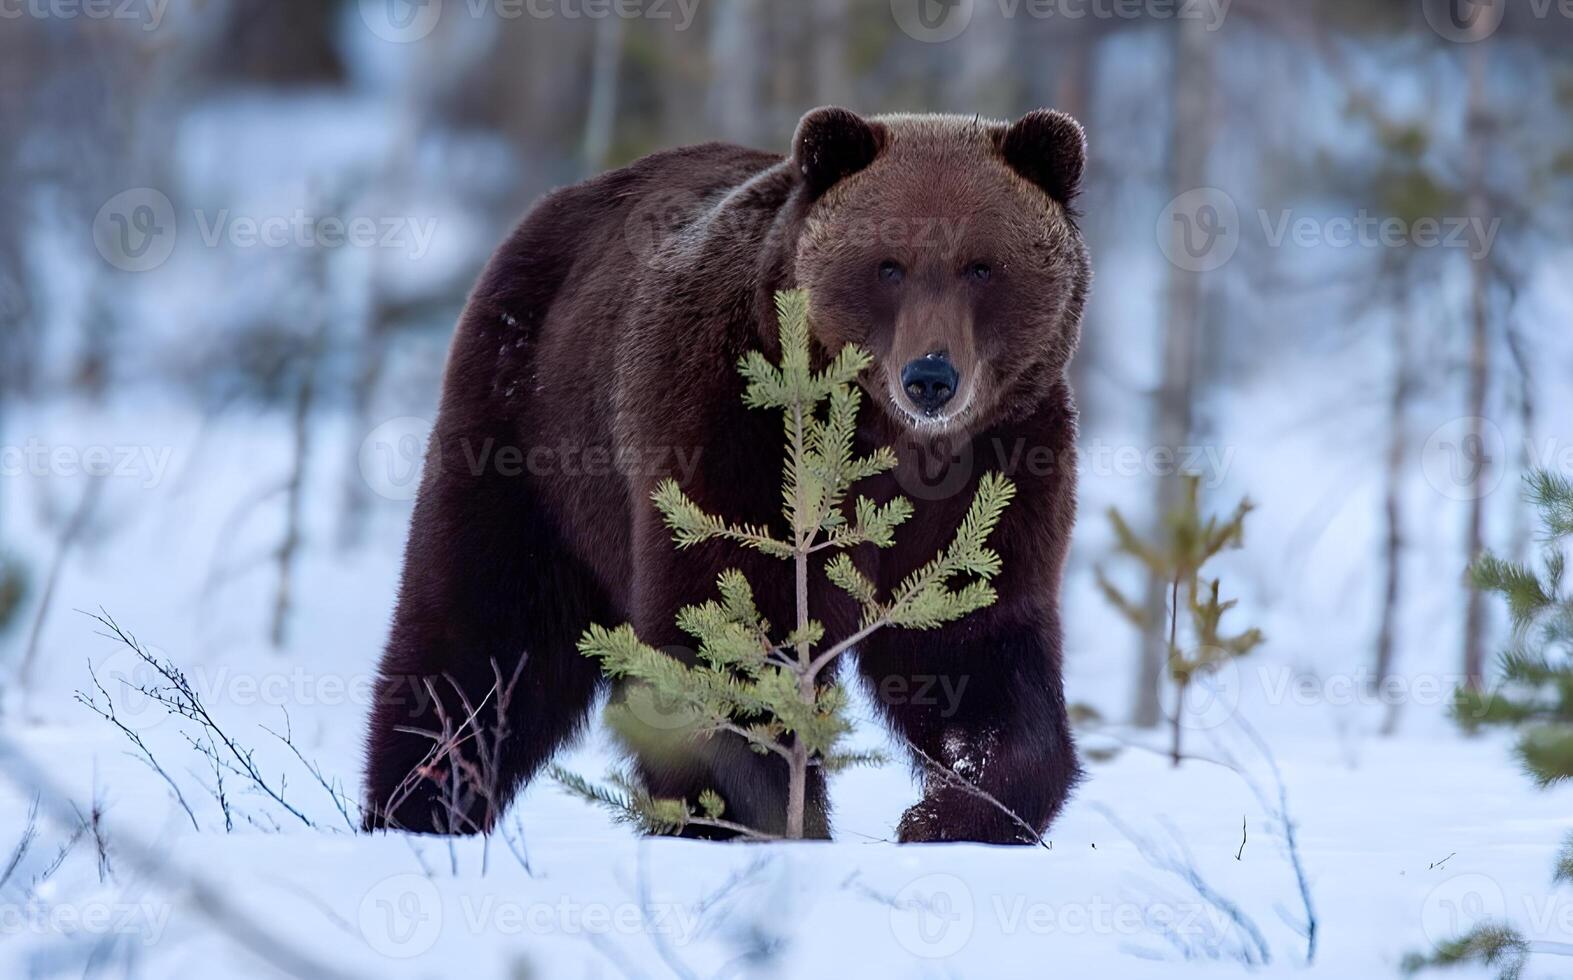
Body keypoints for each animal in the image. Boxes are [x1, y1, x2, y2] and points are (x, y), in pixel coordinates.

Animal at [361, 105, 1088, 843]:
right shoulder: (732, 437)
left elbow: (971, 645)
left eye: (981, 266)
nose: (931, 377)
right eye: (889, 265)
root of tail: (556, 204)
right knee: (482, 624)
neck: (887, 439)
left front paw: (952, 813)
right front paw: (753, 816)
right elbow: (728, 628)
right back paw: (419, 801)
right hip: (531, 434)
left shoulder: (997, 469)